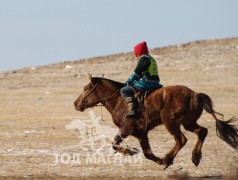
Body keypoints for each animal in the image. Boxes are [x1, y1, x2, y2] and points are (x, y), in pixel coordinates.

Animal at [74, 76, 238, 169]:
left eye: (85, 88)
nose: (76, 103)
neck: (118, 100)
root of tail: (195, 94)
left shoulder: (126, 129)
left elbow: (114, 144)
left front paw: (131, 151)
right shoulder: (141, 133)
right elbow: (147, 153)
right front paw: (156, 160)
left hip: (171, 123)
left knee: (181, 139)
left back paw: (168, 158)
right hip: (188, 123)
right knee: (202, 132)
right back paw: (194, 157)